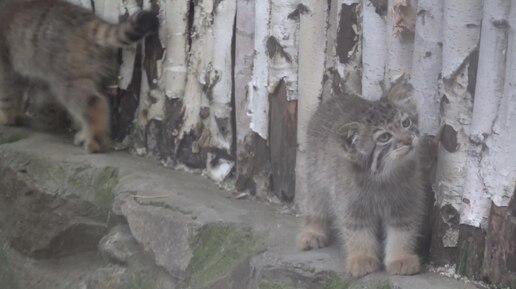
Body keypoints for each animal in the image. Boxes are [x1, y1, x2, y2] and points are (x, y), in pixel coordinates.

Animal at [0, 0, 158, 152]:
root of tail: (87, 20)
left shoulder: (6, 68)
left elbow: (7, 96)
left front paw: (7, 118)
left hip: (67, 79)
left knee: (93, 103)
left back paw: (95, 140)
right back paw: (84, 133)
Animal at [296, 77, 426, 276]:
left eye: (406, 123)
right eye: (384, 137)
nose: (408, 140)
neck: (382, 178)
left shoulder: (405, 204)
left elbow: (402, 232)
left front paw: (400, 258)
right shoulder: (351, 205)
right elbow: (358, 232)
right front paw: (362, 258)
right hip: (315, 177)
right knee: (315, 205)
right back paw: (313, 231)